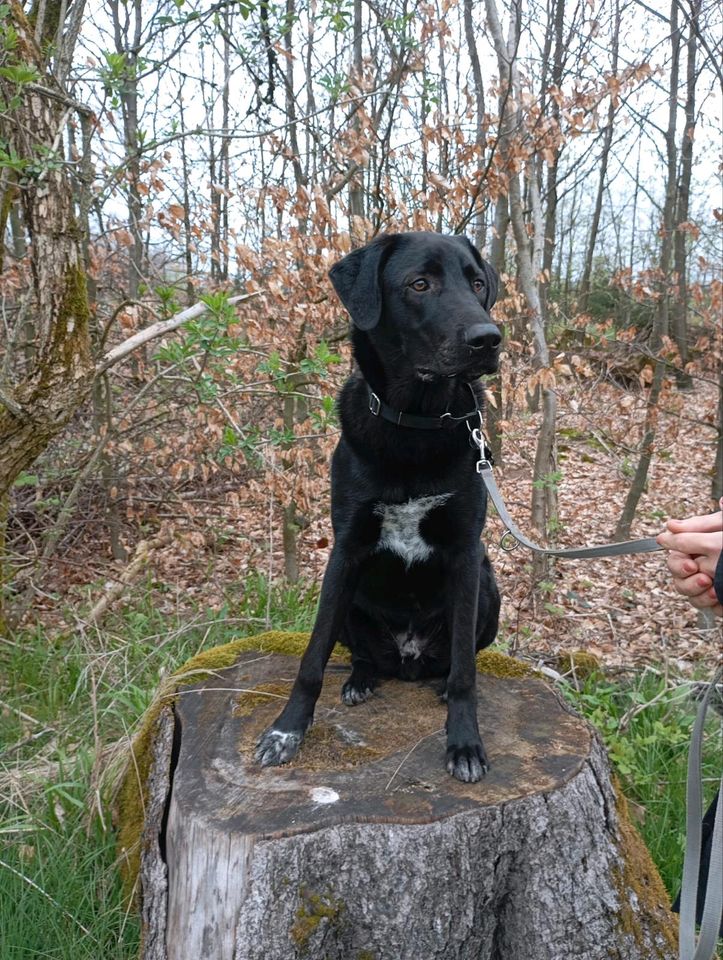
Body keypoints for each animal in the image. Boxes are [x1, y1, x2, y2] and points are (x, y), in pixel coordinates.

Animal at [258, 231, 500, 780]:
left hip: (488, 590)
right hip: (352, 599)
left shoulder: (465, 553)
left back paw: (437, 686)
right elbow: (312, 657)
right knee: (361, 656)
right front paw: (286, 732)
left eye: (478, 283)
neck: (415, 423)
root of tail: (407, 660)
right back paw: (361, 680)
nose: (489, 338)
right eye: (419, 284)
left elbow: (466, 672)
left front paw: (465, 743)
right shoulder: (345, 549)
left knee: (455, 662)